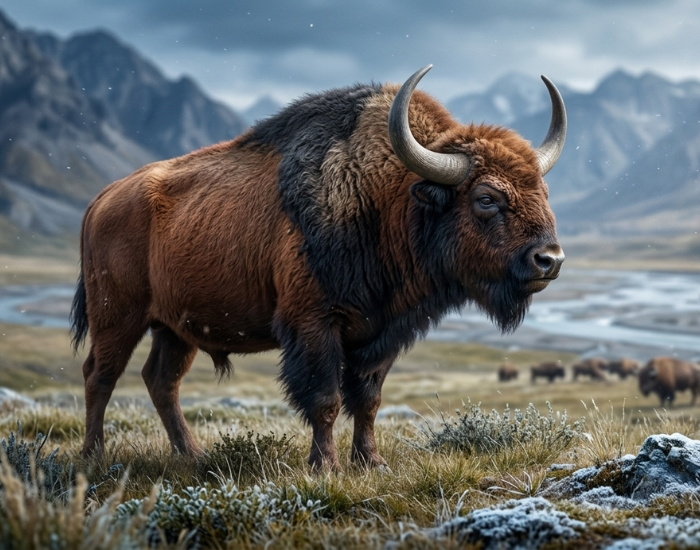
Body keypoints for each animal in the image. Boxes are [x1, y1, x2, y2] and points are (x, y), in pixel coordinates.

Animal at [70, 65, 567, 471]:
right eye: (486, 197)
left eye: (543, 191)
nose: (550, 259)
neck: (390, 198)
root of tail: (102, 200)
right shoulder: (314, 326)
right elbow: (325, 399)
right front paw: (325, 466)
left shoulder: (382, 335)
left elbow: (367, 401)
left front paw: (371, 463)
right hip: (118, 317)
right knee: (100, 375)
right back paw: (94, 456)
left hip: (176, 329)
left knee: (161, 381)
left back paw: (191, 455)